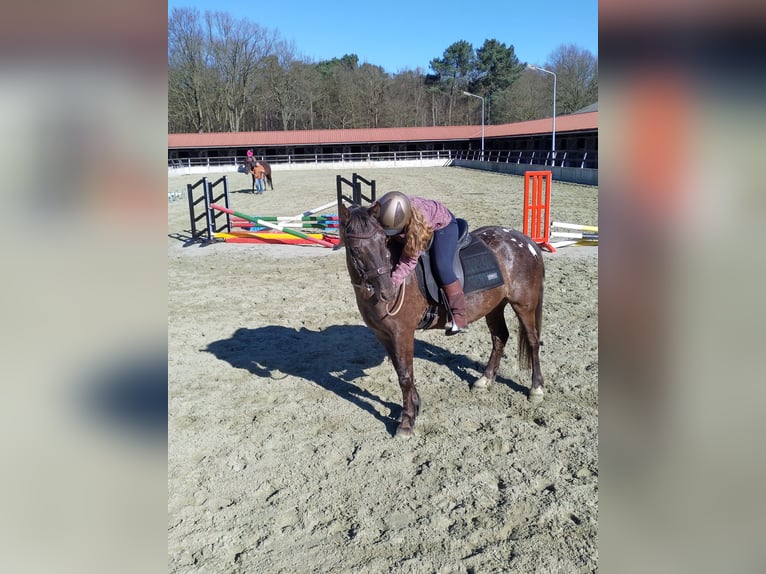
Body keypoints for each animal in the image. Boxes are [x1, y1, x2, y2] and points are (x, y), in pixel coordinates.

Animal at [340, 200, 544, 438]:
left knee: (533, 341)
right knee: (500, 338)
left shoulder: (402, 333)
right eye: (355, 249)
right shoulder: (383, 335)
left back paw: (536, 388)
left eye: (383, 241)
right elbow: (401, 372)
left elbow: (405, 376)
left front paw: (406, 423)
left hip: (524, 305)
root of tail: (526, 242)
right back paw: (485, 380)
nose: (388, 291)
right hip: (494, 306)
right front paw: (414, 407)